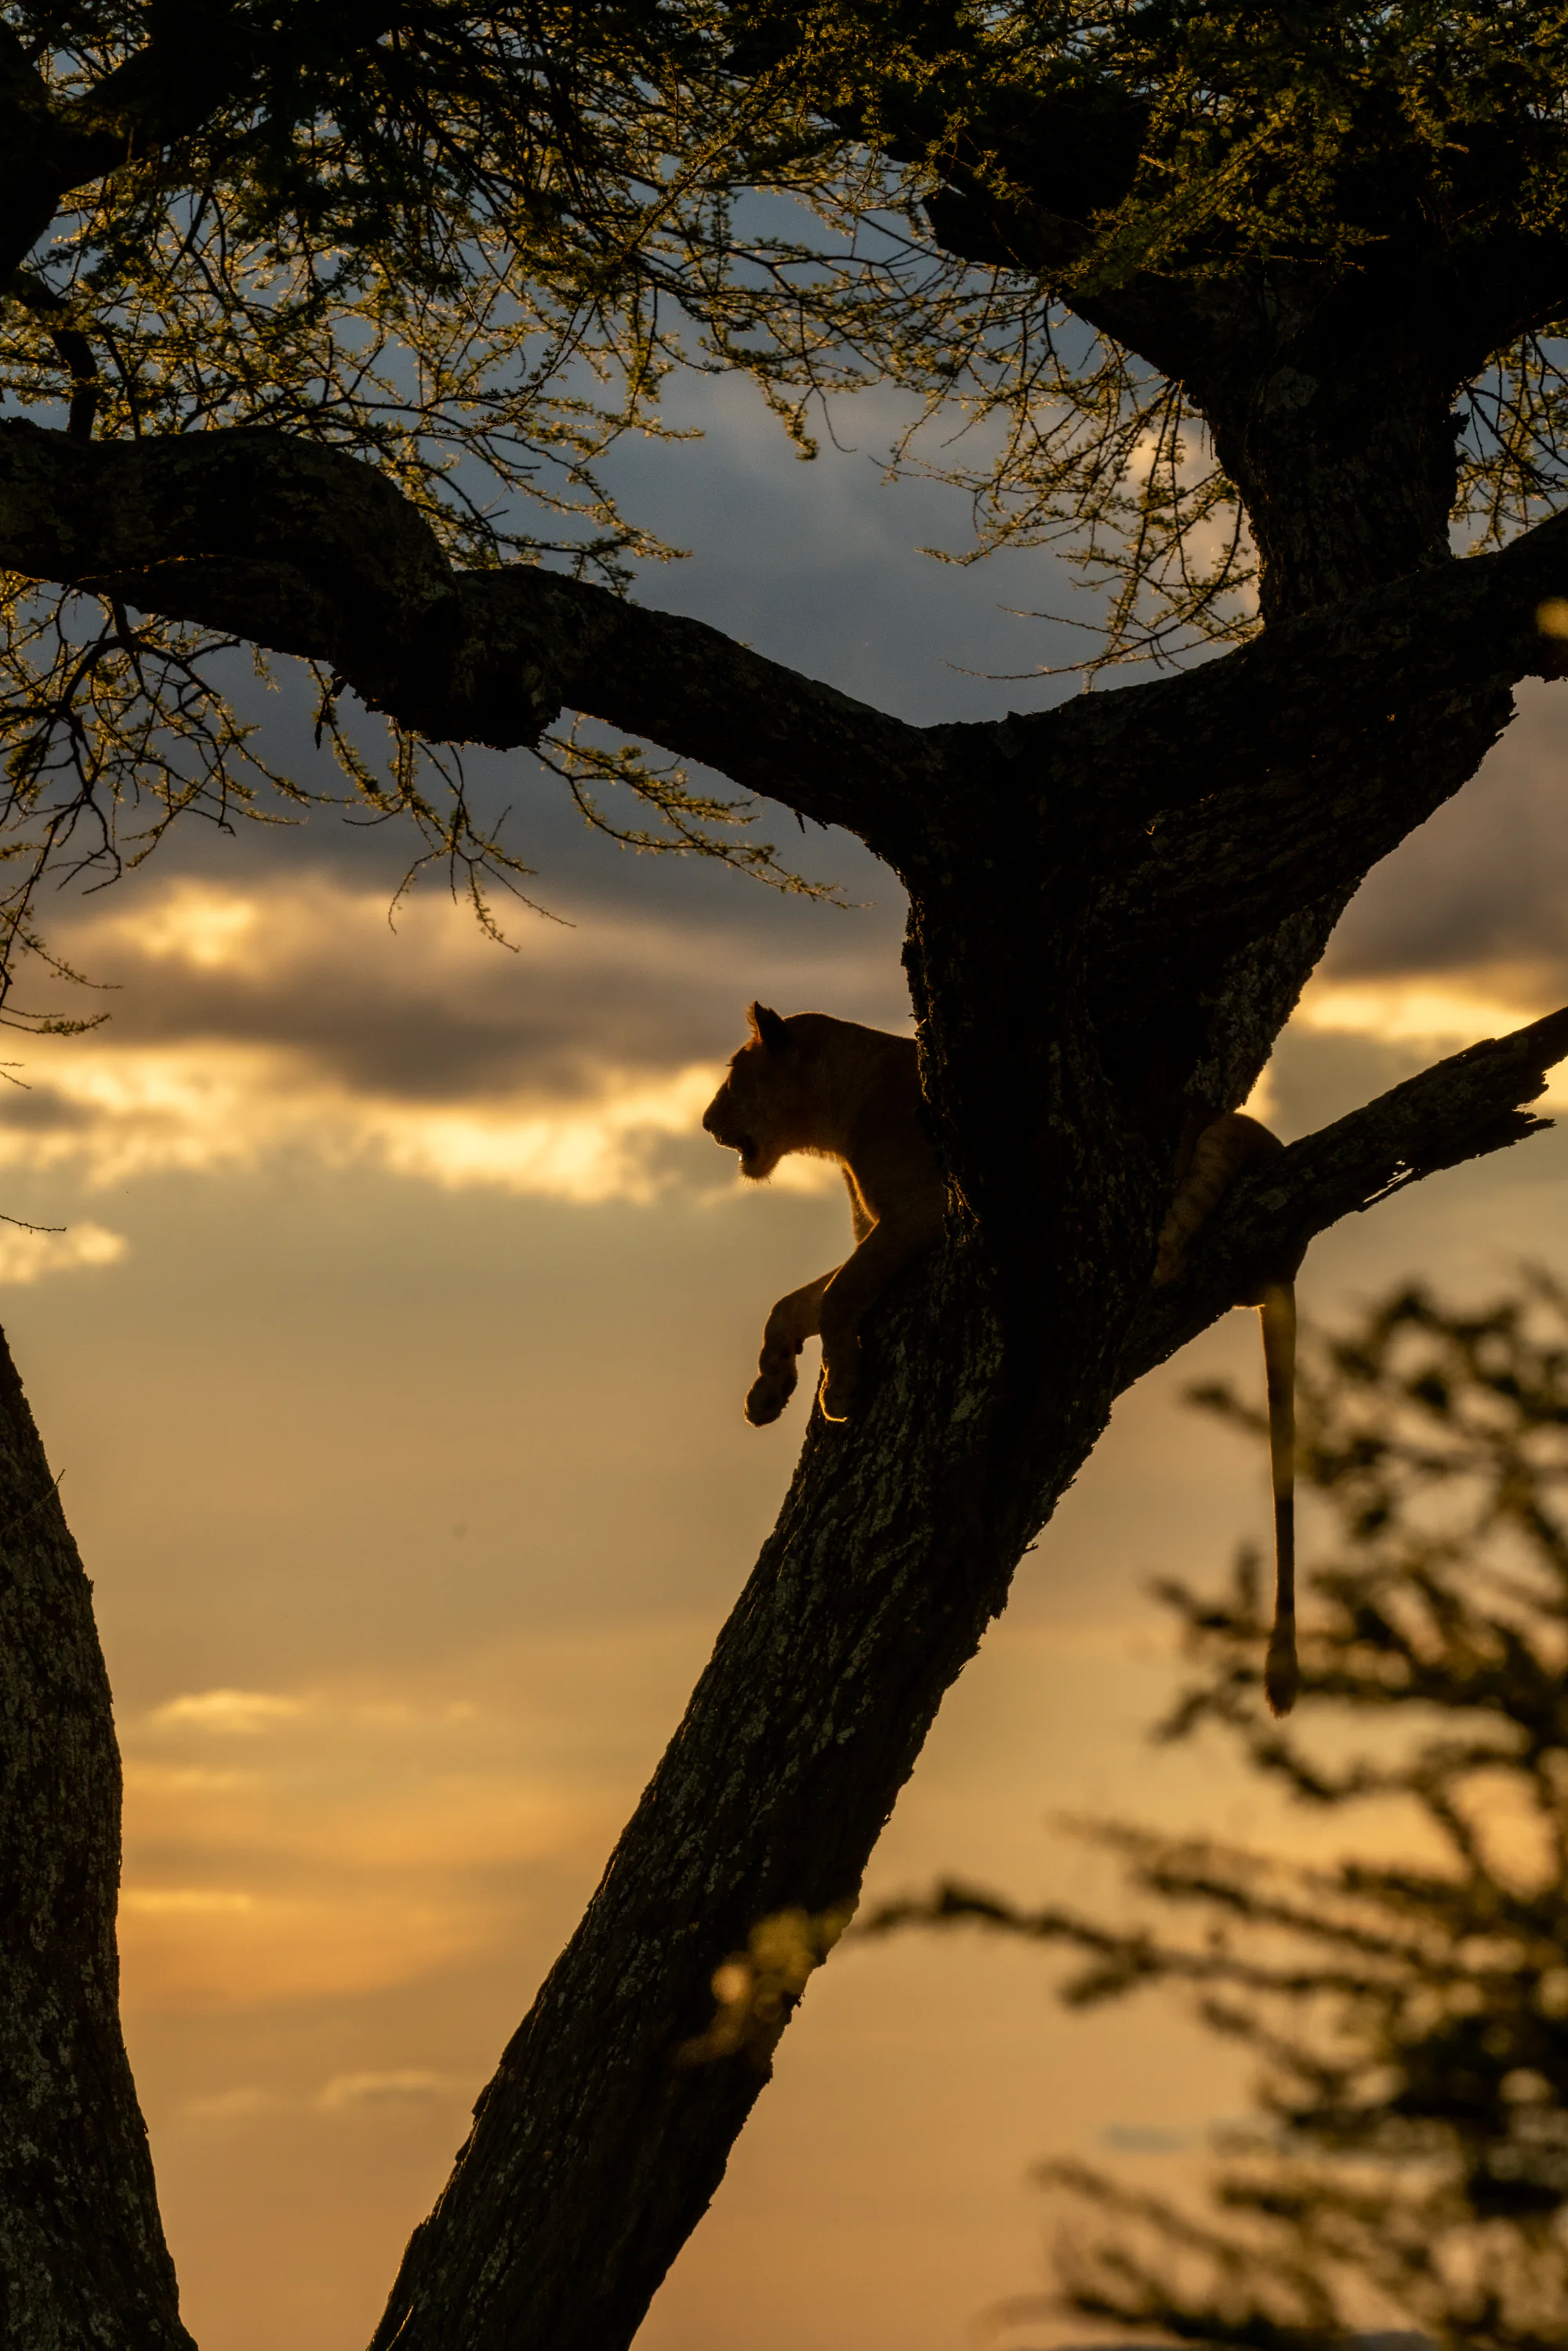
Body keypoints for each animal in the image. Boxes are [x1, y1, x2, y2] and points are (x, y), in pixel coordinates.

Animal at [703, 1010, 1301, 1714]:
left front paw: (840, 1390)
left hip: (1225, 1134)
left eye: (735, 1074)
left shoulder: (922, 1212)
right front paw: (768, 1393)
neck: (840, 1115)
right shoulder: (879, 1231)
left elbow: (836, 1298)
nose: (706, 1122)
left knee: (1175, 1244)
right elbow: (795, 1305)